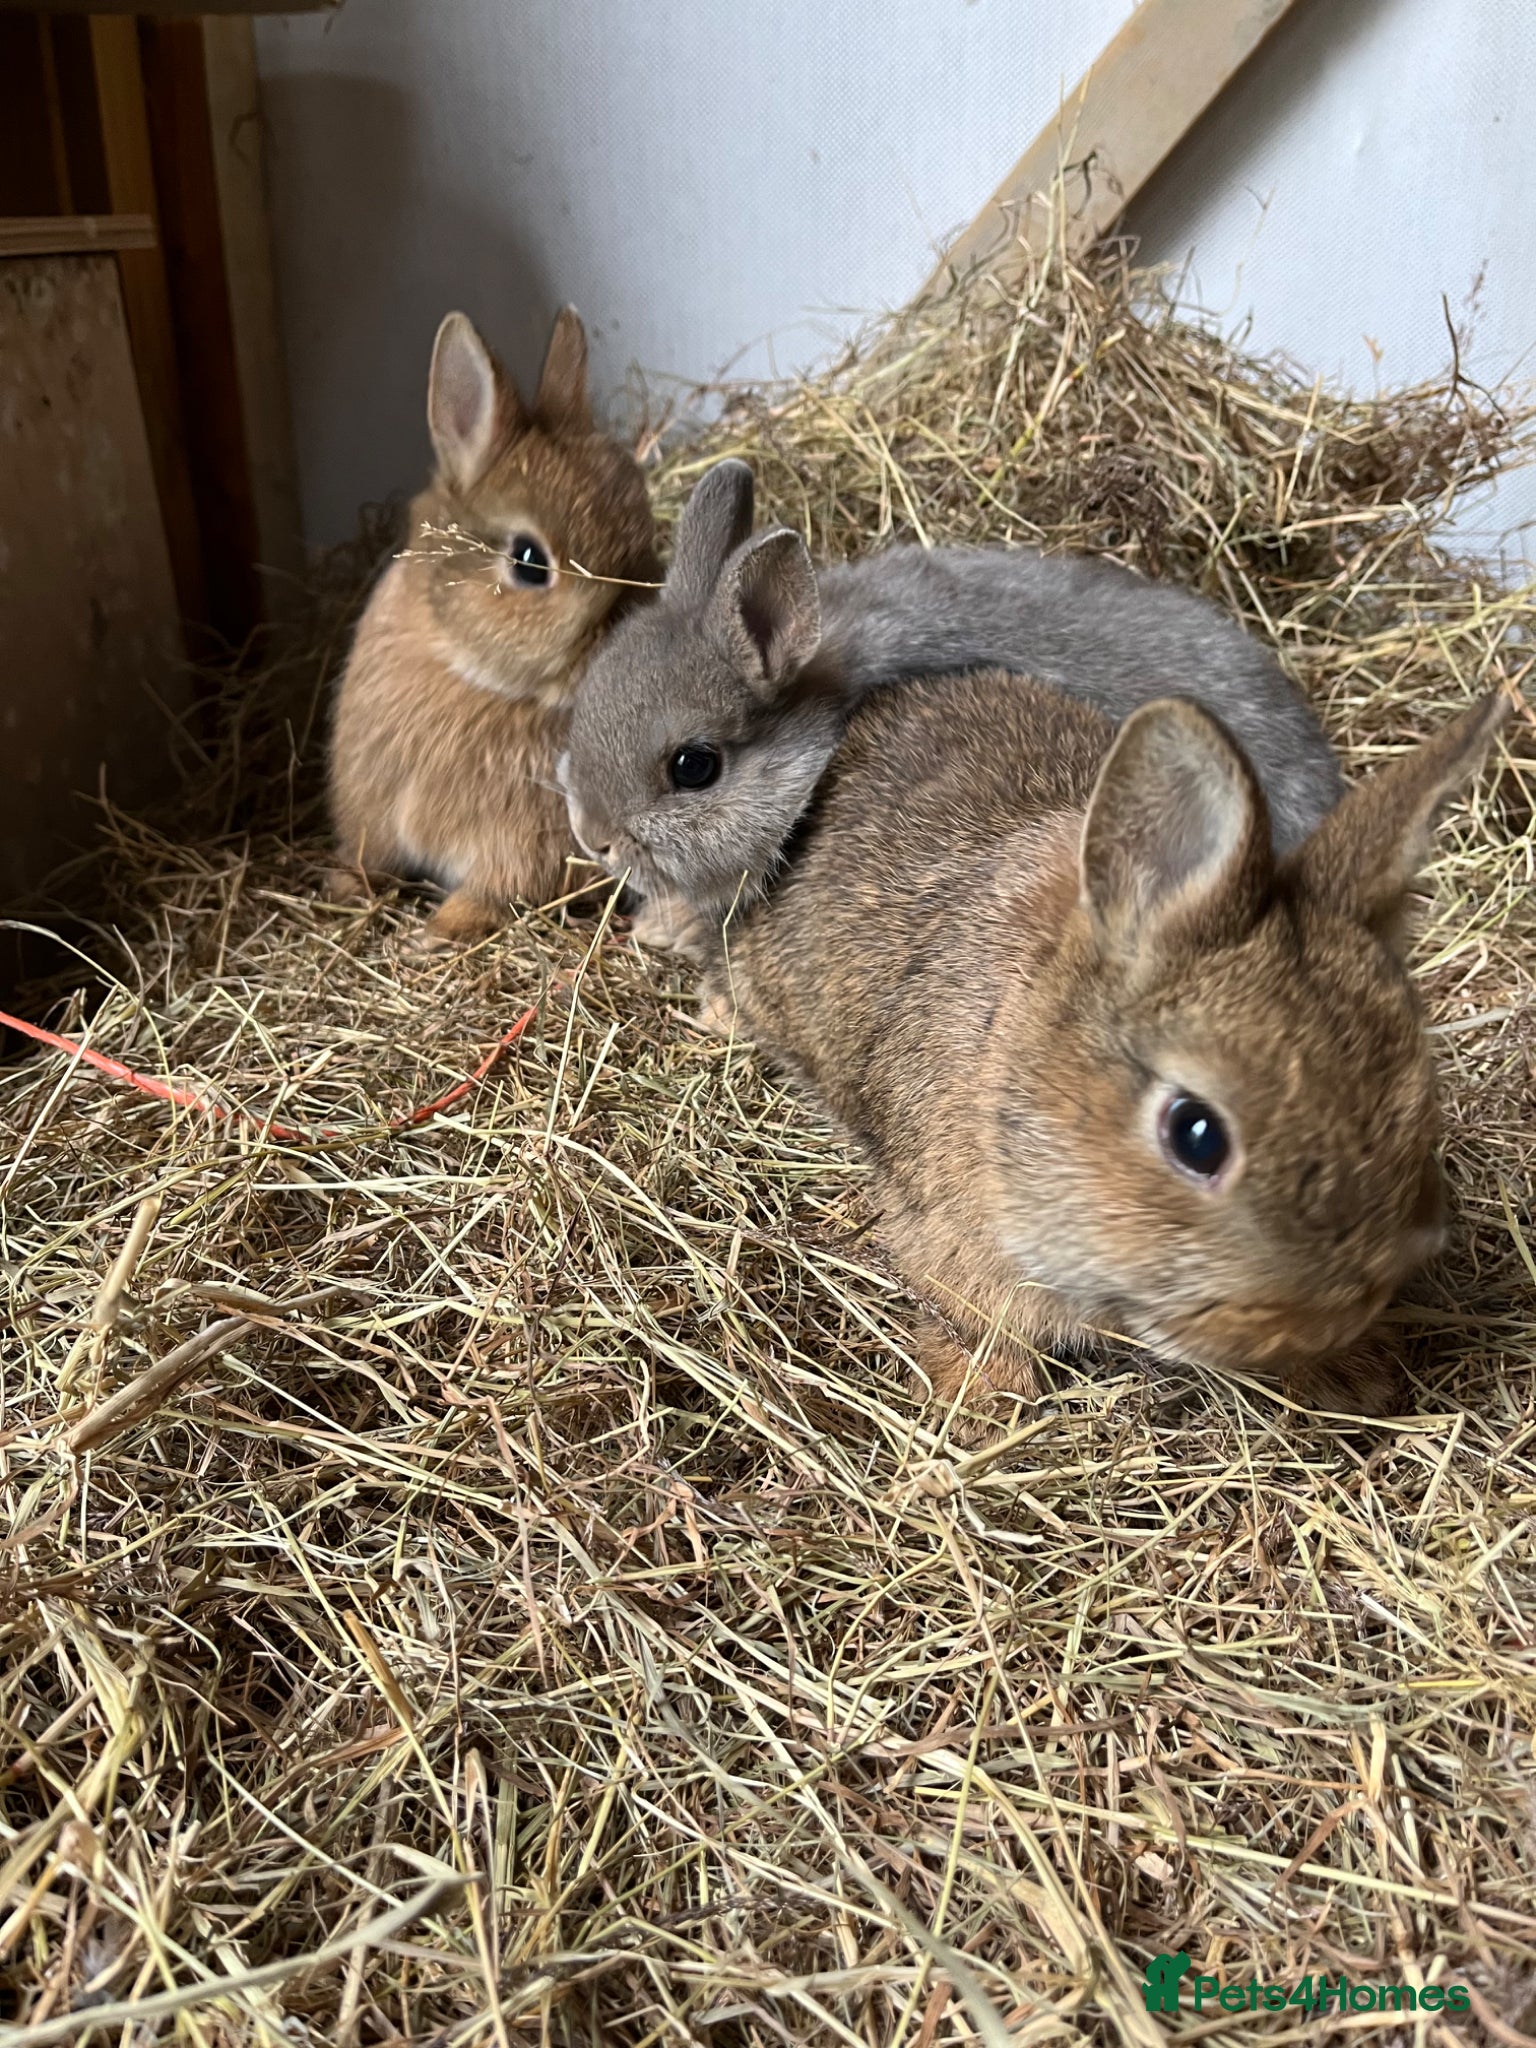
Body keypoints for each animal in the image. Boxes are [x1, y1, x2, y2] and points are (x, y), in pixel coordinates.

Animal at [327, 306, 661, 945]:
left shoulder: (522, 848)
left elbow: (491, 893)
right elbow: (371, 858)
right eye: (529, 561)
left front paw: (432, 935)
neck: (467, 675)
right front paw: (348, 890)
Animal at [695, 664, 1509, 1423]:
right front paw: (985, 1404)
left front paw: (1352, 1375)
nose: (1330, 1318)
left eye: (1417, 1102)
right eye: (1197, 1136)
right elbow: (970, 1322)